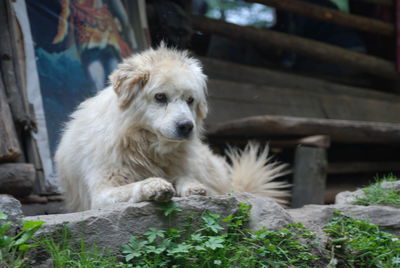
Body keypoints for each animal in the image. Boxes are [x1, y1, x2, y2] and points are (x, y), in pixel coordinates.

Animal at [54, 45, 290, 211]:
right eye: (160, 97)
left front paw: (192, 187)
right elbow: (134, 186)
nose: (186, 126)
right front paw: (154, 186)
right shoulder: (102, 192)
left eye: (190, 100)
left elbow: (184, 178)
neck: (146, 147)